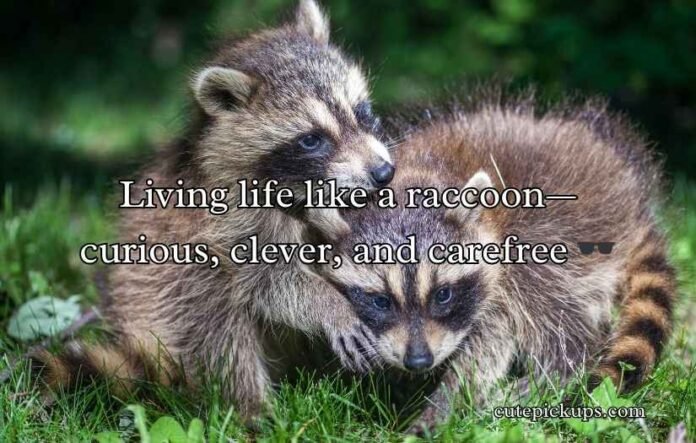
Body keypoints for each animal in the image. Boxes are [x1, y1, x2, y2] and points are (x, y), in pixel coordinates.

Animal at [30, 0, 391, 423]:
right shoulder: (228, 219)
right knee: (216, 324)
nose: (384, 173)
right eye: (311, 139)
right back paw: (253, 410)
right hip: (165, 302)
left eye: (362, 111)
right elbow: (268, 280)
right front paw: (330, 304)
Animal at [315, 96, 676, 431]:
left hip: (569, 228)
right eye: (380, 301)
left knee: (556, 316)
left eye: (443, 295)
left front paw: (446, 403)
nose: (418, 361)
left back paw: (557, 373)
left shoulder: (501, 270)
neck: (418, 179)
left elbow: (488, 345)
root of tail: (635, 205)